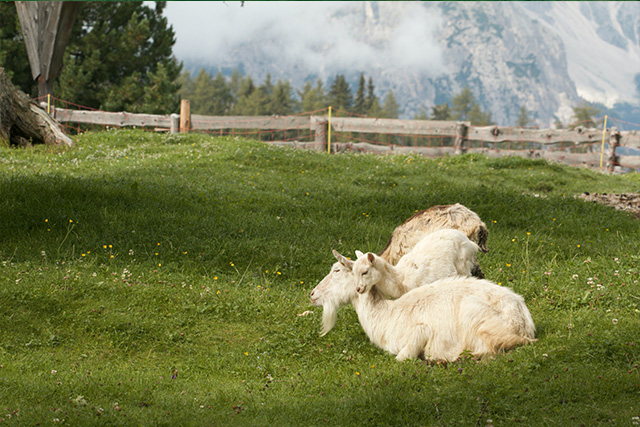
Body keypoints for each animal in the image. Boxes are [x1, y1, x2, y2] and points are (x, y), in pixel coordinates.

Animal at [312, 231, 480, 338]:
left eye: (337, 270)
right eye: (353, 271)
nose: (312, 294)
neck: (400, 280)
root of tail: (470, 242)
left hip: (465, 267)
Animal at [352, 252, 536, 362]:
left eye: (365, 272)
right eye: (353, 272)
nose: (358, 289)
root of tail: (525, 324)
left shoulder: (418, 330)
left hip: (475, 315)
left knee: (490, 348)